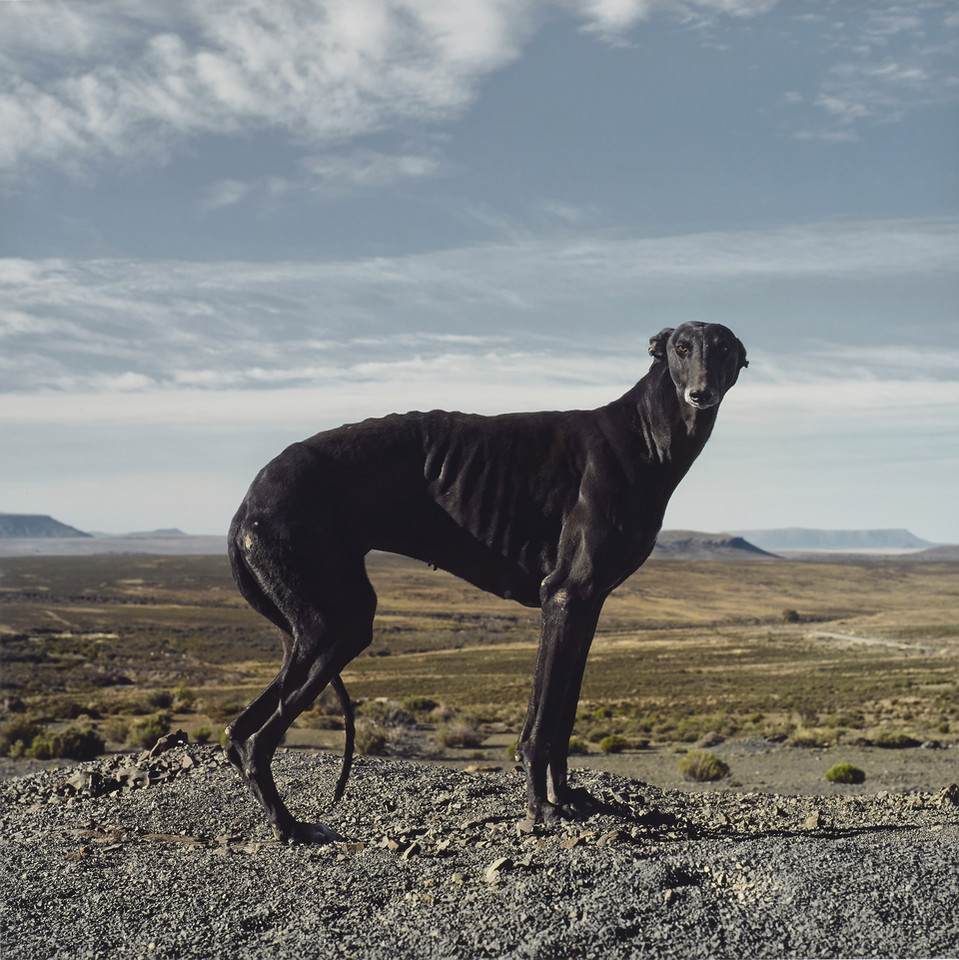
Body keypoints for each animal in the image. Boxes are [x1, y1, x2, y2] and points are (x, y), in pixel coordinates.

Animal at [227, 322, 752, 840]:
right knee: (255, 739)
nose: (699, 395)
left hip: (313, 630)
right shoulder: (562, 597)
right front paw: (541, 808)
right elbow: (540, 726)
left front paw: (569, 797)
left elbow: (564, 718)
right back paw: (289, 826)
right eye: (680, 348)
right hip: (339, 622)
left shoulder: (588, 607)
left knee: (237, 732)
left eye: (724, 349)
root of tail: (249, 500)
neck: (643, 435)